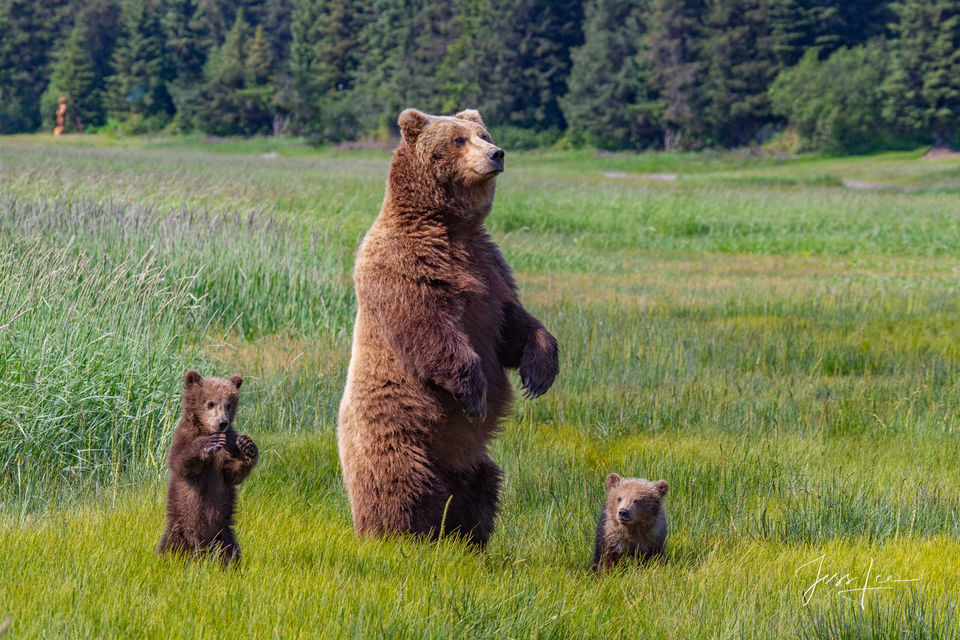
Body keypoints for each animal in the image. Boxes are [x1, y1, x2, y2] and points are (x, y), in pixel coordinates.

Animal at [157, 370, 259, 567]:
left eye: (228, 404)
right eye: (210, 403)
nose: (222, 422)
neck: (209, 430)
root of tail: (201, 549)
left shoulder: (229, 445)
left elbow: (233, 473)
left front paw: (248, 446)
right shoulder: (184, 436)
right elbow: (182, 462)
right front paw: (206, 445)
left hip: (224, 534)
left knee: (229, 552)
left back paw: (230, 566)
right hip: (179, 527)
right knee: (170, 546)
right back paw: (166, 560)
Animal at [337, 108, 559, 547]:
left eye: (483, 133)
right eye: (458, 139)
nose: (496, 153)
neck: (450, 227)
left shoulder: (489, 267)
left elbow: (513, 324)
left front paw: (539, 373)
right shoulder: (405, 264)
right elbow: (429, 327)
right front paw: (475, 393)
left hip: (470, 459)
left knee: (481, 487)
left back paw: (468, 538)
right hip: (396, 432)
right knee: (399, 483)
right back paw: (397, 536)